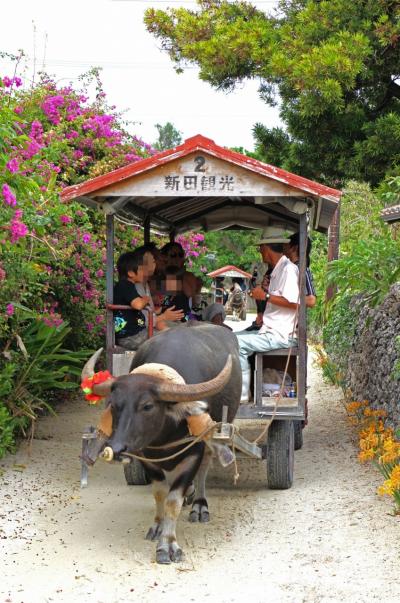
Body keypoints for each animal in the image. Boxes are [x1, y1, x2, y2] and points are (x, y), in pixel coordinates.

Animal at [82, 326, 239, 568]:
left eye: (147, 406)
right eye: (114, 404)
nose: (115, 449)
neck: (164, 435)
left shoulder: (192, 454)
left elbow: (173, 500)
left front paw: (168, 545)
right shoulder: (145, 456)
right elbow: (159, 493)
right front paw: (158, 525)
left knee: (204, 468)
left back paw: (199, 504)